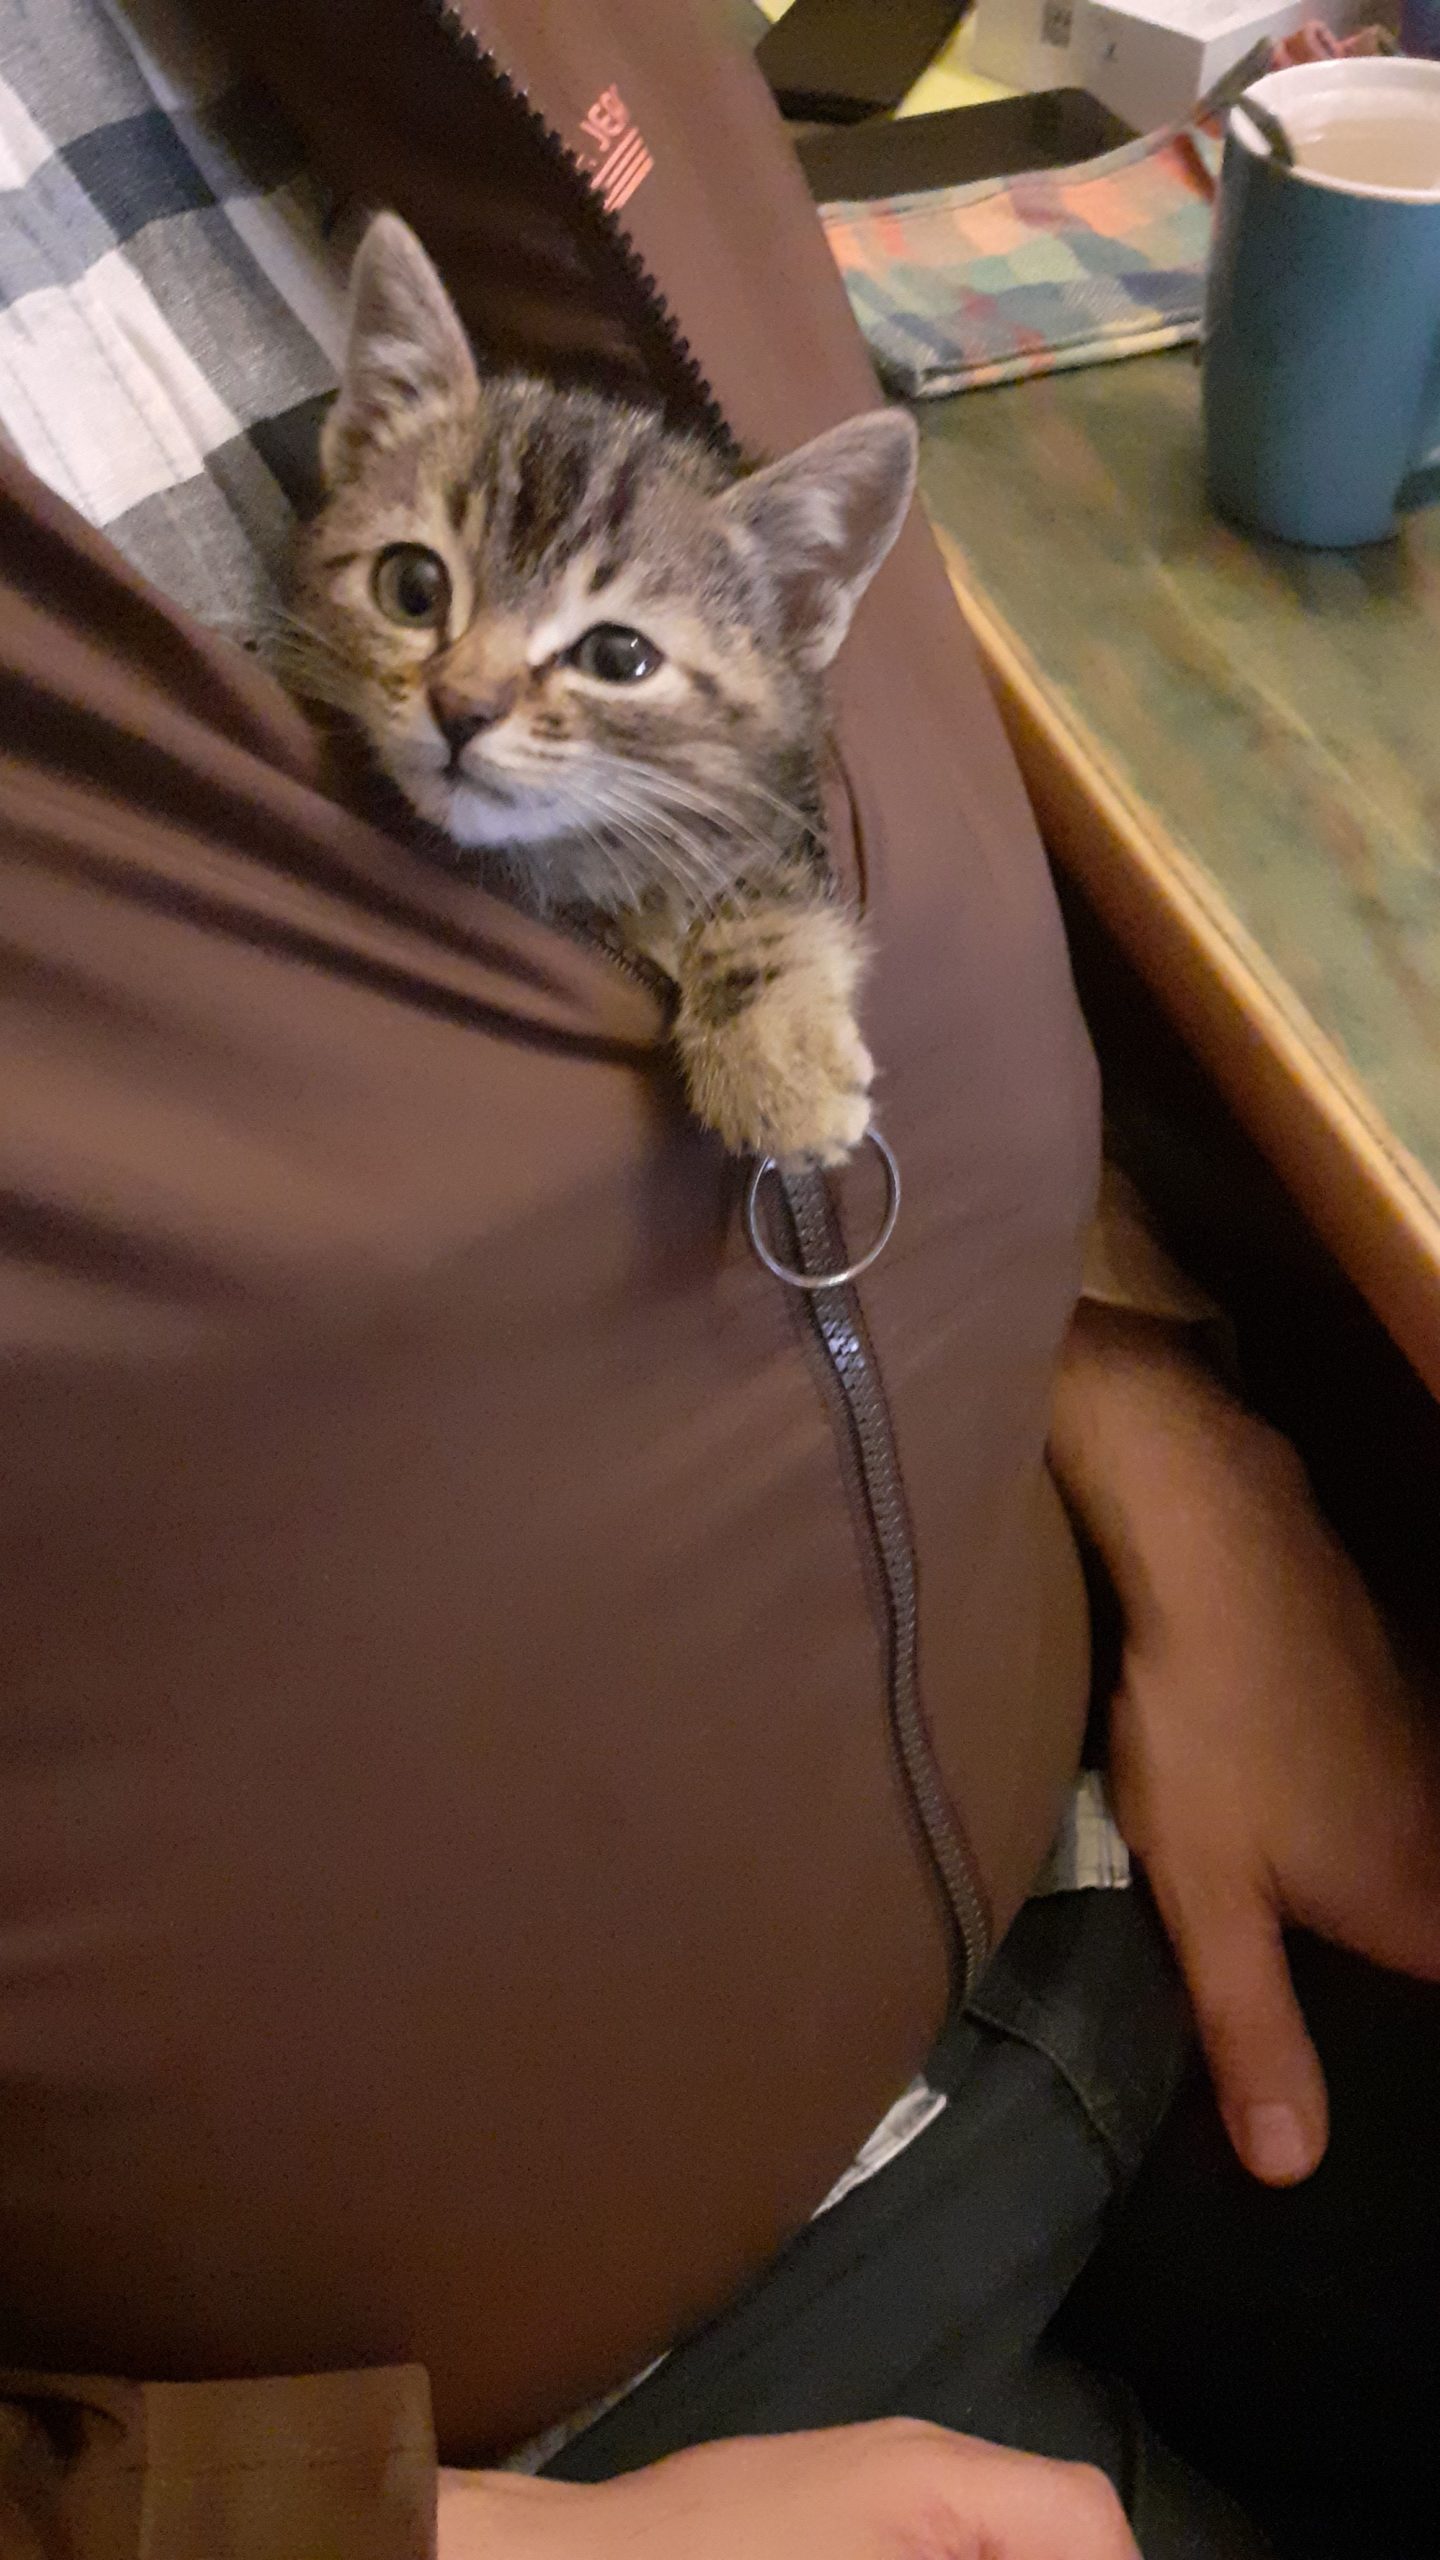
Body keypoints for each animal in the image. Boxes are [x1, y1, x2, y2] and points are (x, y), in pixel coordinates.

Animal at [285, 213, 917, 1168]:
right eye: (413, 589)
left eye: (618, 658)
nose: (461, 708)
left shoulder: (780, 804)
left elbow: (760, 886)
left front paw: (778, 1055)